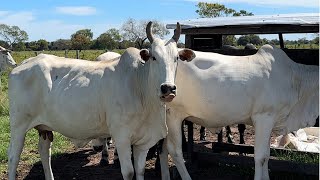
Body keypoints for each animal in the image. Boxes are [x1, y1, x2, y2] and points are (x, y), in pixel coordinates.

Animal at [7, 21, 196, 180]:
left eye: (176, 58)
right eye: (154, 57)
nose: (168, 88)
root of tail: (22, 64)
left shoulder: (143, 142)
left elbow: (140, 170)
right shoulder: (121, 137)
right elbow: (129, 172)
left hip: (44, 127)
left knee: (44, 152)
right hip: (18, 126)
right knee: (13, 158)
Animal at [159, 44, 318, 179]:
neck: (296, 80)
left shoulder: (270, 121)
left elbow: (267, 155)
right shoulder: (264, 117)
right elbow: (260, 157)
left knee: (162, 150)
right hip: (172, 115)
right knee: (174, 151)